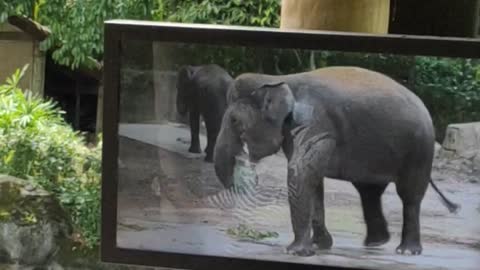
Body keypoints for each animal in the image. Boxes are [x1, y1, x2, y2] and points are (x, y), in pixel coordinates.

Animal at [213, 66, 458, 256]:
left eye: (234, 121)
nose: (250, 175)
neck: (276, 79)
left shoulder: (314, 123)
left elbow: (300, 173)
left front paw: (295, 252)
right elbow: (312, 181)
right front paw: (318, 246)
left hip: (419, 151)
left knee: (409, 196)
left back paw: (406, 251)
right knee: (369, 191)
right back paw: (375, 243)